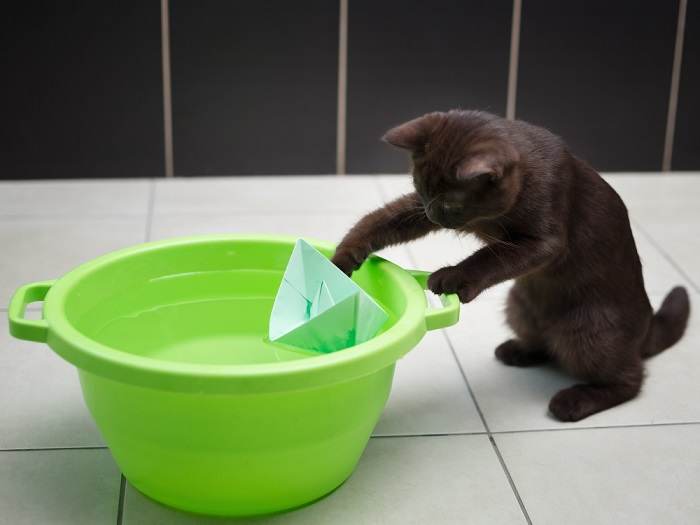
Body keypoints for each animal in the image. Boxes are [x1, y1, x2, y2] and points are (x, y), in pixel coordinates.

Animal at [332, 109, 688, 422]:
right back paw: (518, 351)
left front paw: (450, 277)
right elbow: (383, 219)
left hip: (590, 334)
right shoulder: (416, 211)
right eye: (420, 188)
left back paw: (573, 401)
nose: (432, 212)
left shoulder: (542, 241)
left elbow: (489, 258)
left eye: (450, 204)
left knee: (630, 379)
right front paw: (342, 257)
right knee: (547, 345)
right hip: (519, 307)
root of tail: (646, 326)